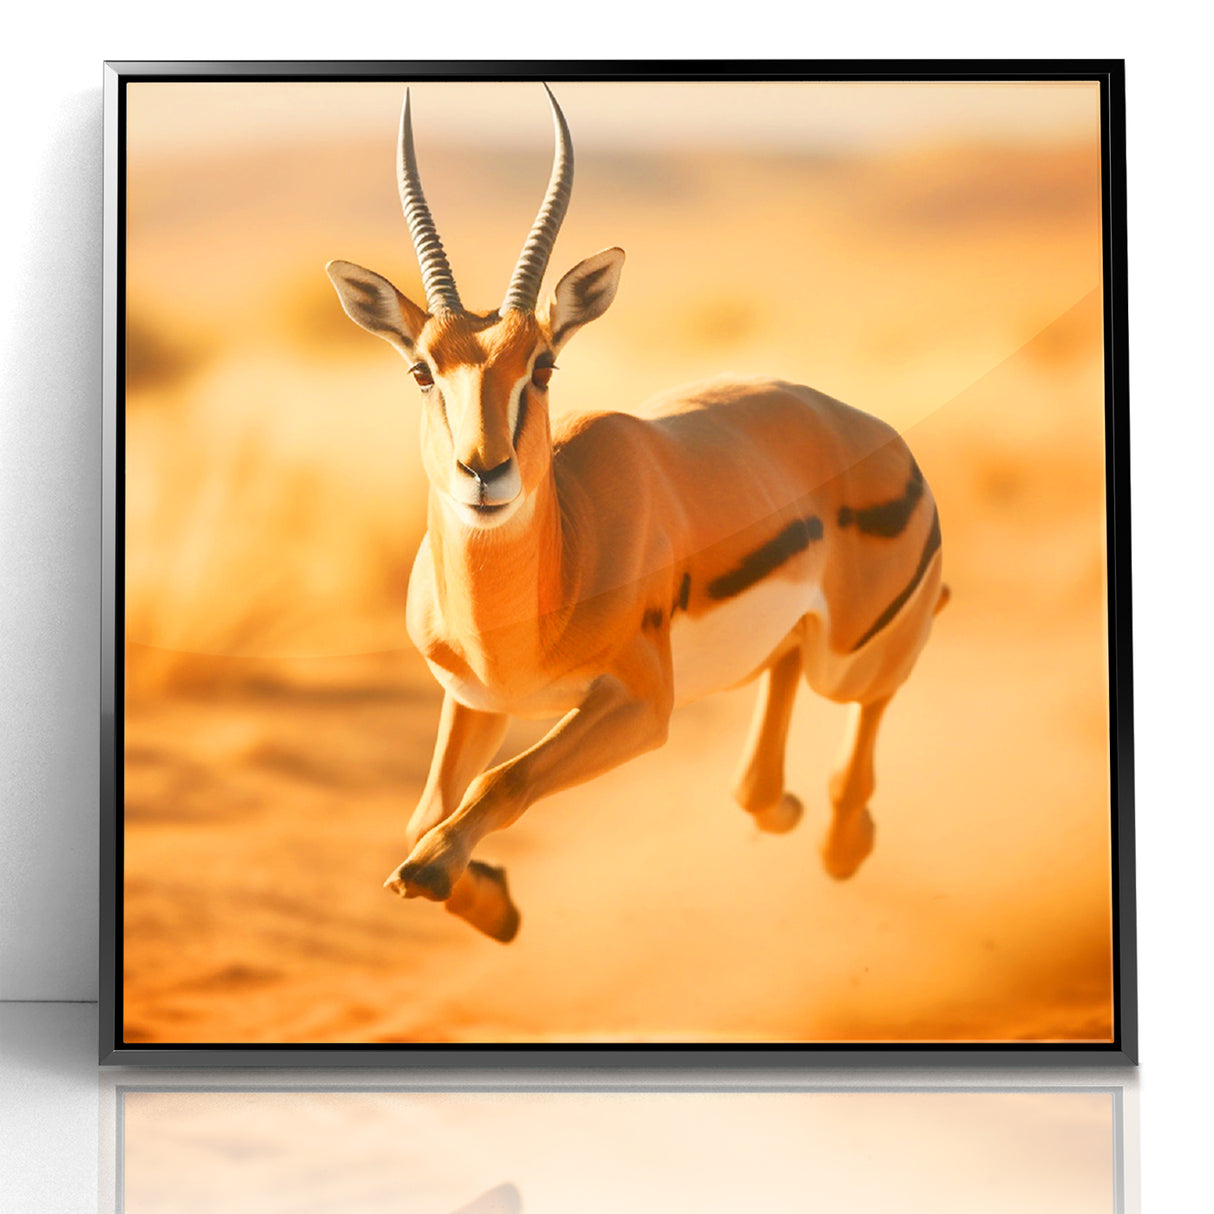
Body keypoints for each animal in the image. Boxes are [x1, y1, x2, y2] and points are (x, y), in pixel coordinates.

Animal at [327, 87, 948, 943]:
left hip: (849, 658)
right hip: (803, 647)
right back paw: (782, 809)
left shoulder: (641, 705)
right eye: (423, 370)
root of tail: (879, 435)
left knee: (882, 675)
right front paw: (492, 903)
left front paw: (450, 879)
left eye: (543, 365)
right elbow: (424, 815)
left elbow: (497, 786)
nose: (485, 472)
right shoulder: (478, 702)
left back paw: (843, 841)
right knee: (780, 687)